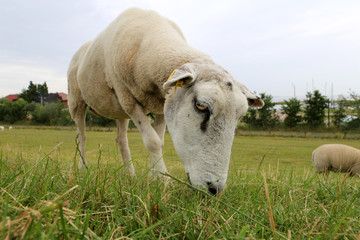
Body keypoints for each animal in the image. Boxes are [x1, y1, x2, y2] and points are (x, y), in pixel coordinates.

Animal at [67, 7, 262, 195]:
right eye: (200, 106)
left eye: (239, 118)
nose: (214, 190)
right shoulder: (128, 100)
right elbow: (152, 142)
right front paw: (164, 180)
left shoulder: (163, 104)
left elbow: (160, 141)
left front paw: (156, 177)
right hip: (77, 101)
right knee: (82, 137)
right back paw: (83, 169)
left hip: (120, 110)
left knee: (121, 139)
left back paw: (129, 174)